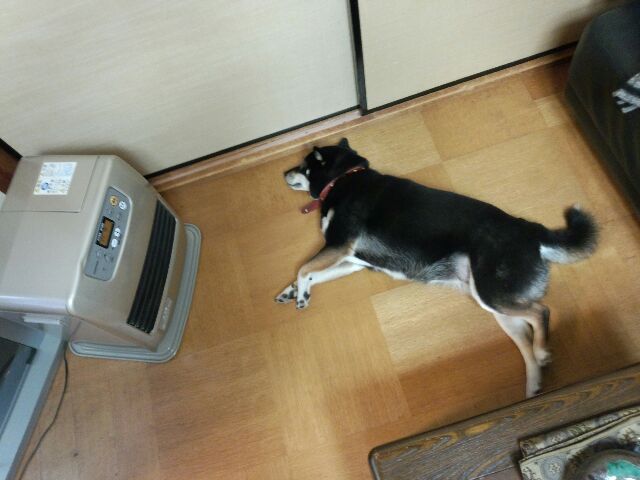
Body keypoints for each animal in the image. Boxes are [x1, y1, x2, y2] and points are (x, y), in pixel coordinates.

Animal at [275, 138, 598, 398]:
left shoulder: (340, 245)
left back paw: (543, 352)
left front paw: (300, 295)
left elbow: (304, 268)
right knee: (526, 338)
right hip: (495, 305)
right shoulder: (351, 260)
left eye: (302, 165)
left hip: (492, 293)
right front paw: (293, 291)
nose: (283, 172)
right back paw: (533, 386)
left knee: (541, 312)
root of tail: (532, 230)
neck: (344, 178)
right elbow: (311, 273)